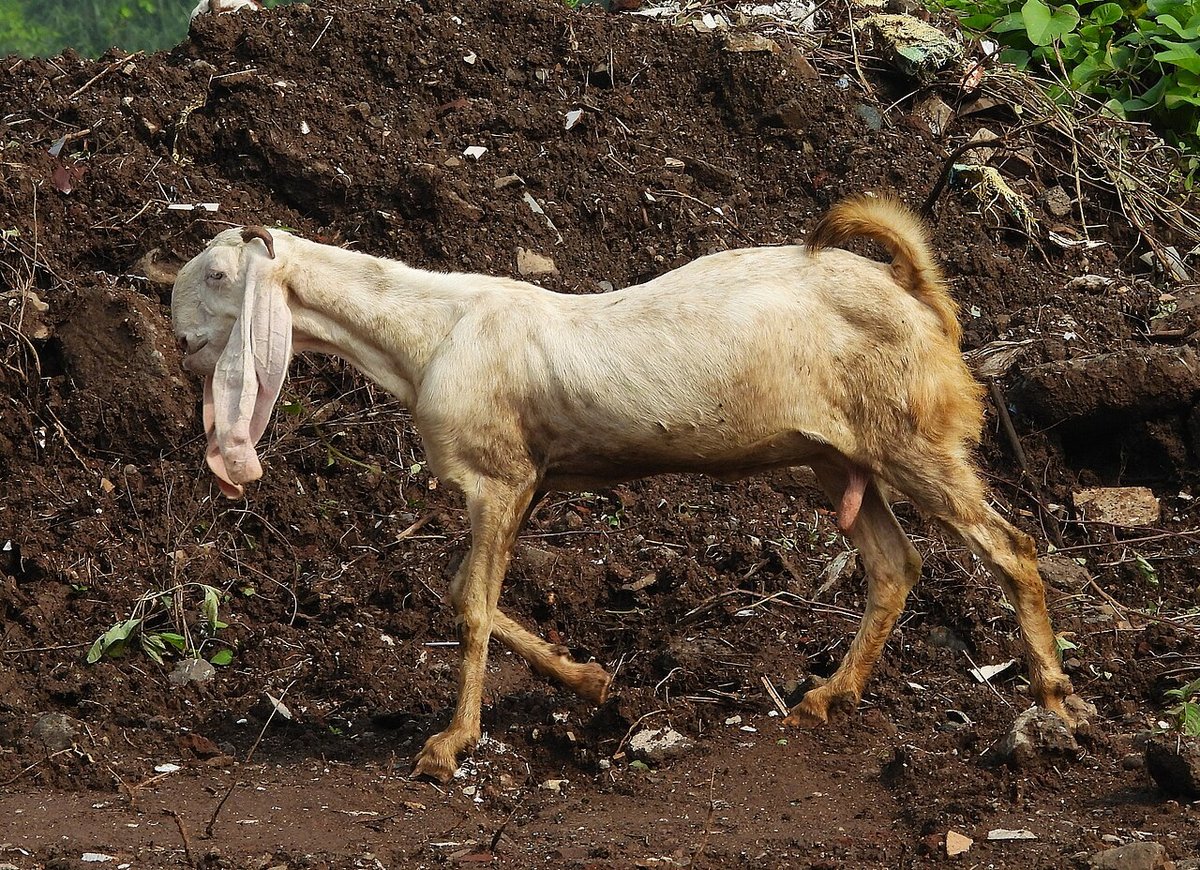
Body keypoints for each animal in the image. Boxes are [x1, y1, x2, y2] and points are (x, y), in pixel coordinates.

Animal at [171, 196, 1083, 783]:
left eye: (217, 274)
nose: (179, 345)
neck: (428, 332)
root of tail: (921, 296)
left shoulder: (496, 477)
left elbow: (469, 604)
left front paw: (449, 746)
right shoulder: (529, 481)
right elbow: (467, 589)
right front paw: (591, 682)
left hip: (913, 440)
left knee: (1013, 548)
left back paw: (1056, 700)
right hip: (838, 457)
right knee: (895, 567)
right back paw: (829, 697)